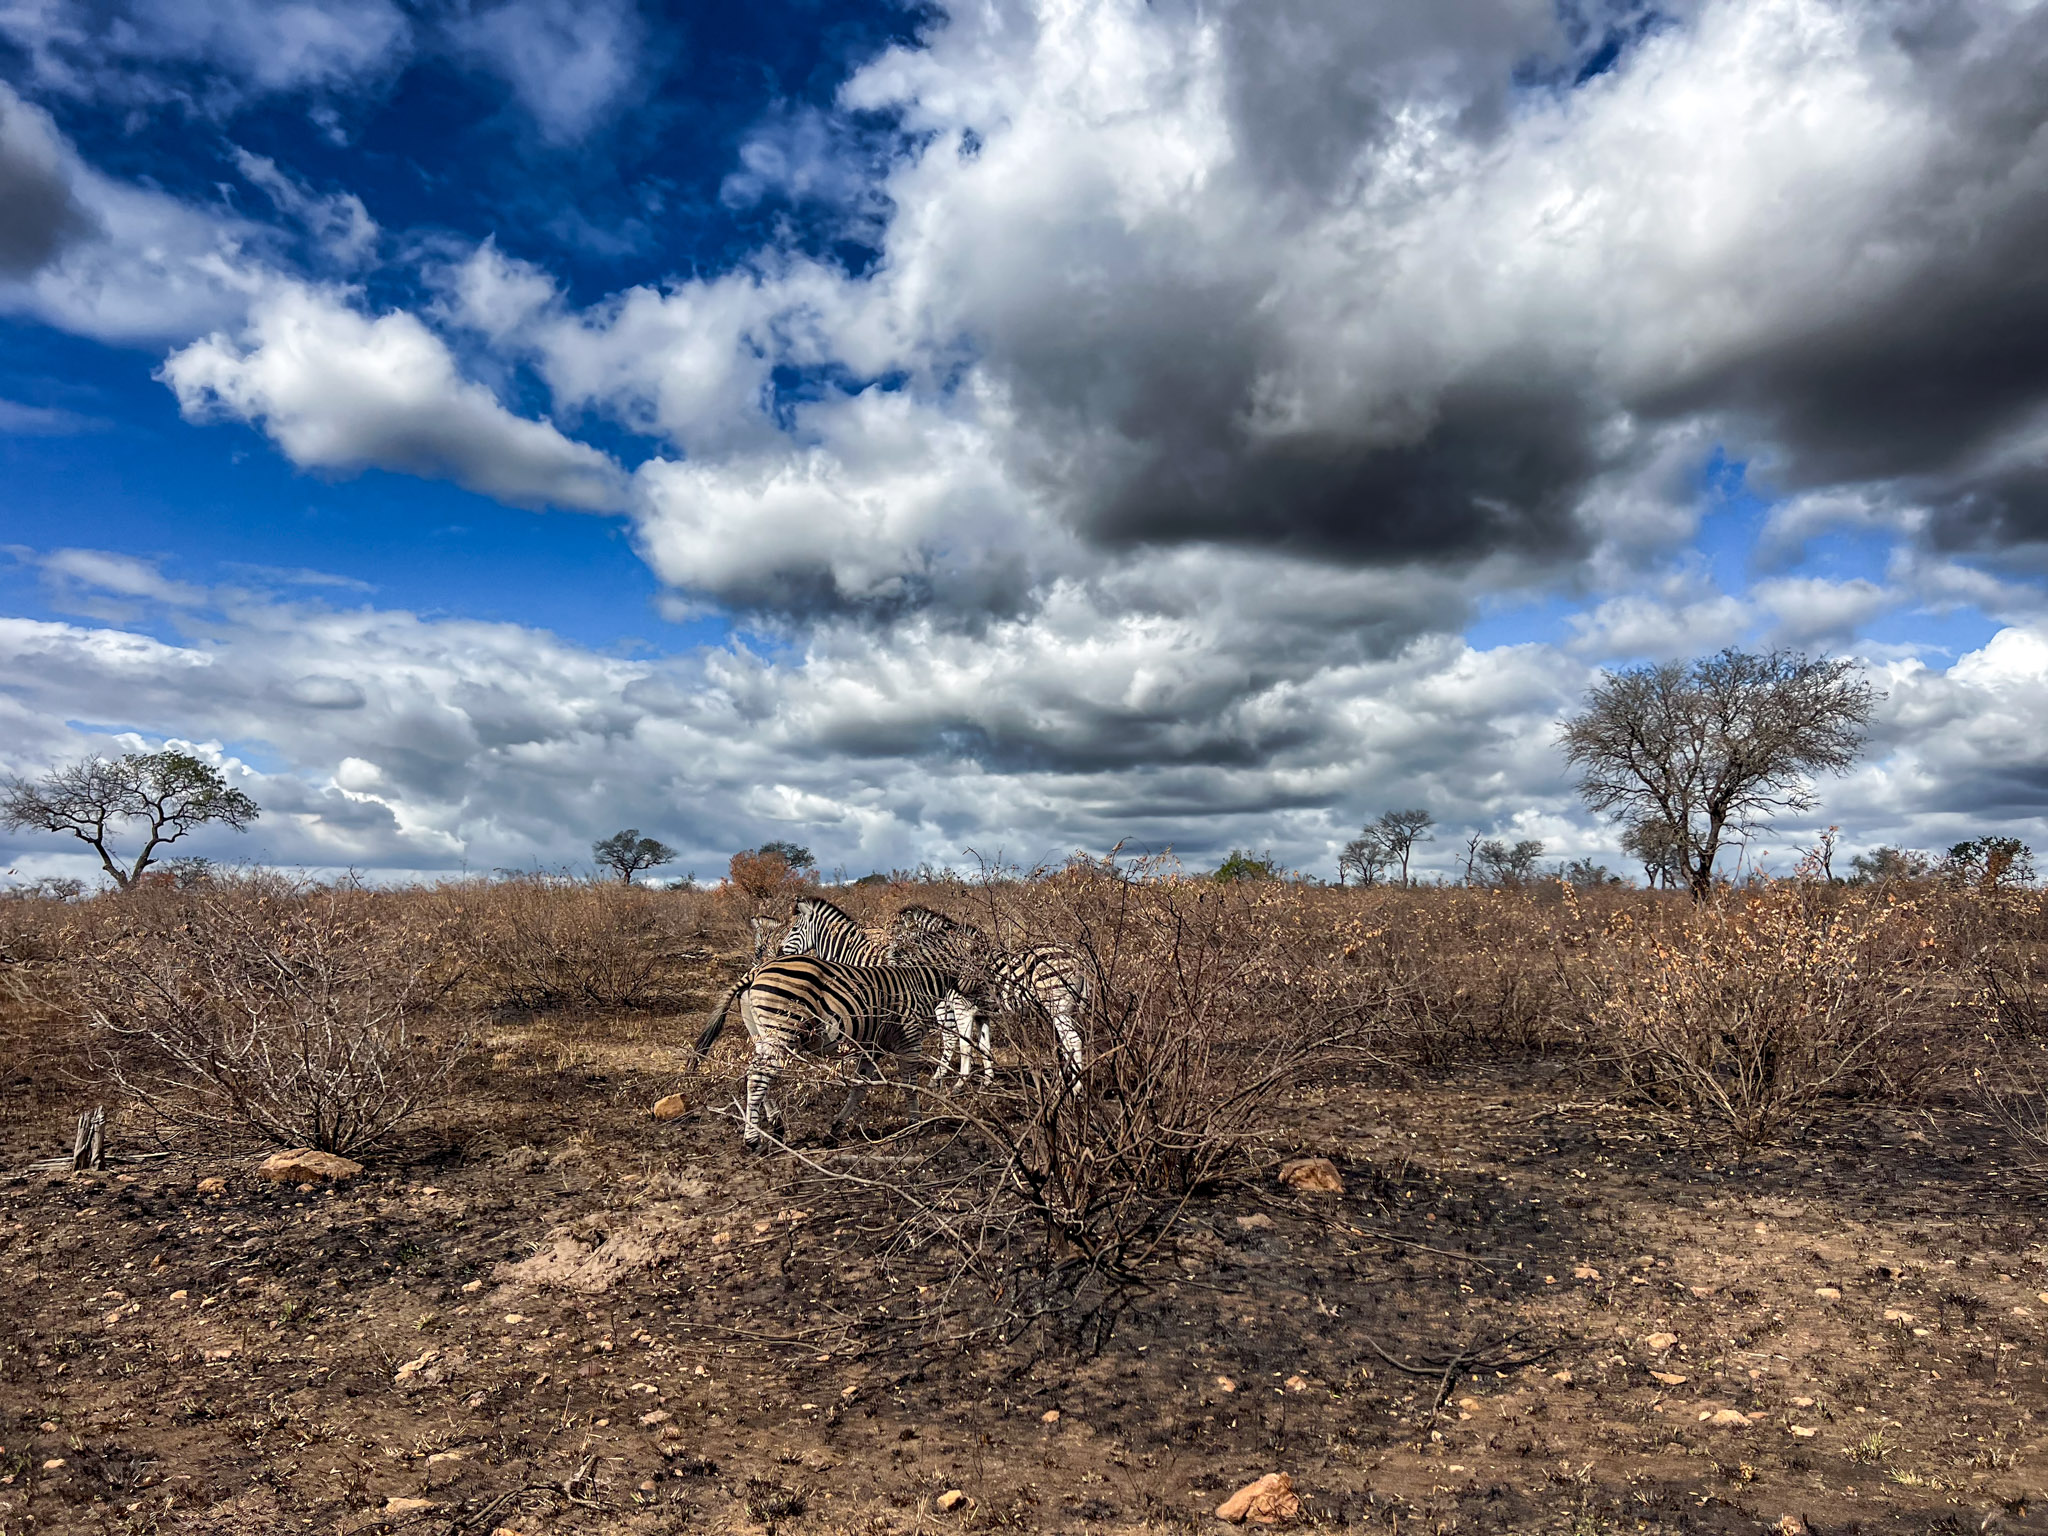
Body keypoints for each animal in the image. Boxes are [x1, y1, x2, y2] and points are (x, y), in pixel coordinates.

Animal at [722, 956, 973, 1150]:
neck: (921, 984)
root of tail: (756, 971)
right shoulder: (909, 1039)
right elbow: (910, 1085)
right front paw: (915, 1126)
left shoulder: (873, 1048)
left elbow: (858, 1088)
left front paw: (835, 1130)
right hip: (782, 1029)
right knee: (758, 1077)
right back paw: (753, 1139)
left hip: (760, 1033)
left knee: (758, 1074)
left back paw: (776, 1127)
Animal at [887, 905, 1088, 1084]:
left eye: (897, 938)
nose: (887, 962)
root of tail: (1078, 955)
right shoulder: (981, 1013)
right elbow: (984, 1045)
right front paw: (987, 1081)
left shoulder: (960, 1007)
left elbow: (963, 1044)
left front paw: (959, 1083)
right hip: (1071, 1009)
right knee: (1067, 1045)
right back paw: (1063, 1084)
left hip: (1059, 1009)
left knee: (1074, 1042)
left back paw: (1074, 1087)